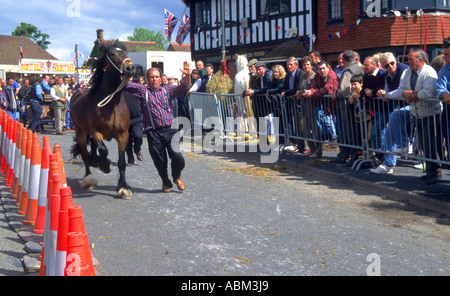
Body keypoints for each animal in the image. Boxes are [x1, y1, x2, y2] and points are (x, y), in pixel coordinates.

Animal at [69, 29, 136, 199]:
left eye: (125, 52)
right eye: (112, 54)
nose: (131, 68)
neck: (111, 104)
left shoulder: (123, 134)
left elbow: (122, 162)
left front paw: (123, 187)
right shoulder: (95, 131)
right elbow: (104, 150)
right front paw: (105, 166)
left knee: (92, 150)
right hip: (80, 131)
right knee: (85, 155)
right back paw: (89, 178)